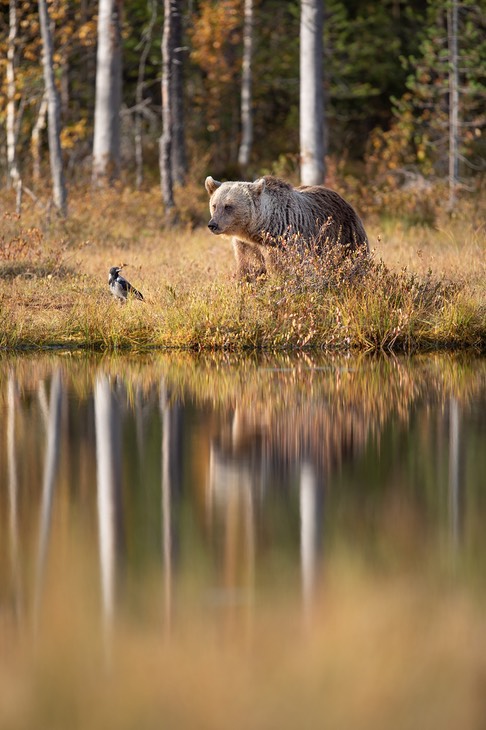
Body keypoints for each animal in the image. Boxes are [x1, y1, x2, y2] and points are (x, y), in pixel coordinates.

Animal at [205, 175, 368, 280]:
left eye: (228, 206)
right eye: (215, 205)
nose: (213, 224)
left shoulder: (287, 241)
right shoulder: (246, 245)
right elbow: (250, 268)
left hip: (346, 235)